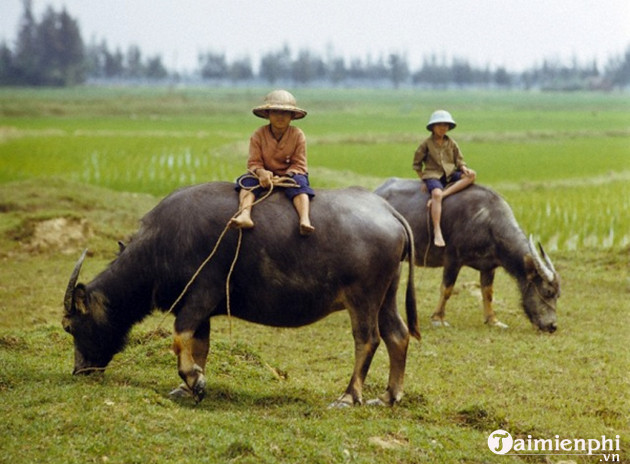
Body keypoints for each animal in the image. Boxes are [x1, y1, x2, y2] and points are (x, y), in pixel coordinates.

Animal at [61, 181, 422, 406]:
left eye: (71, 326)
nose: (80, 371)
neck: (161, 246)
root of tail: (387, 211)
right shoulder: (200, 309)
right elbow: (199, 344)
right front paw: (189, 385)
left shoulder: (202, 295)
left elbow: (179, 335)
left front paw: (194, 379)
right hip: (387, 294)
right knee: (397, 335)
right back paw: (389, 396)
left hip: (364, 298)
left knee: (368, 339)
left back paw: (349, 396)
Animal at [378, 176, 560, 332]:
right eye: (547, 292)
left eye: (558, 295)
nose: (552, 326)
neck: (487, 223)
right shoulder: (452, 260)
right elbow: (447, 289)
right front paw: (438, 318)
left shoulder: (489, 267)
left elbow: (488, 292)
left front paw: (493, 320)